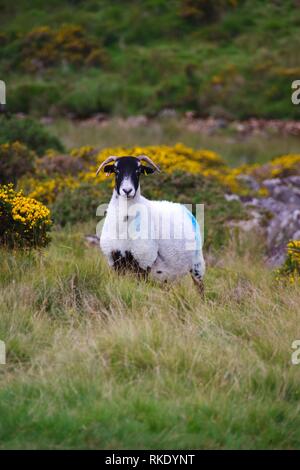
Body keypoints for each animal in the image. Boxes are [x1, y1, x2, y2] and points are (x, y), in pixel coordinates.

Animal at [96, 154, 204, 294]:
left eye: (138, 170)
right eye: (116, 170)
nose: (127, 190)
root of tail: (182, 207)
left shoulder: (144, 261)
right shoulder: (115, 260)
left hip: (197, 264)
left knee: (200, 288)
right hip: (169, 273)